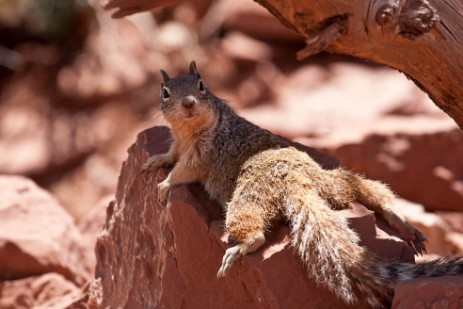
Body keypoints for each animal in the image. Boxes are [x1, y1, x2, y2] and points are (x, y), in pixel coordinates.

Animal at [141, 61, 463, 306]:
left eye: (201, 86)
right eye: (165, 92)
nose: (188, 103)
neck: (189, 131)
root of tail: (299, 183)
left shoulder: (203, 155)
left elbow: (184, 171)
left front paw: (165, 185)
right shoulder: (179, 145)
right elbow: (170, 155)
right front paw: (155, 161)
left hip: (247, 196)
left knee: (256, 234)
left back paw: (239, 249)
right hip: (331, 182)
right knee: (359, 188)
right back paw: (400, 222)